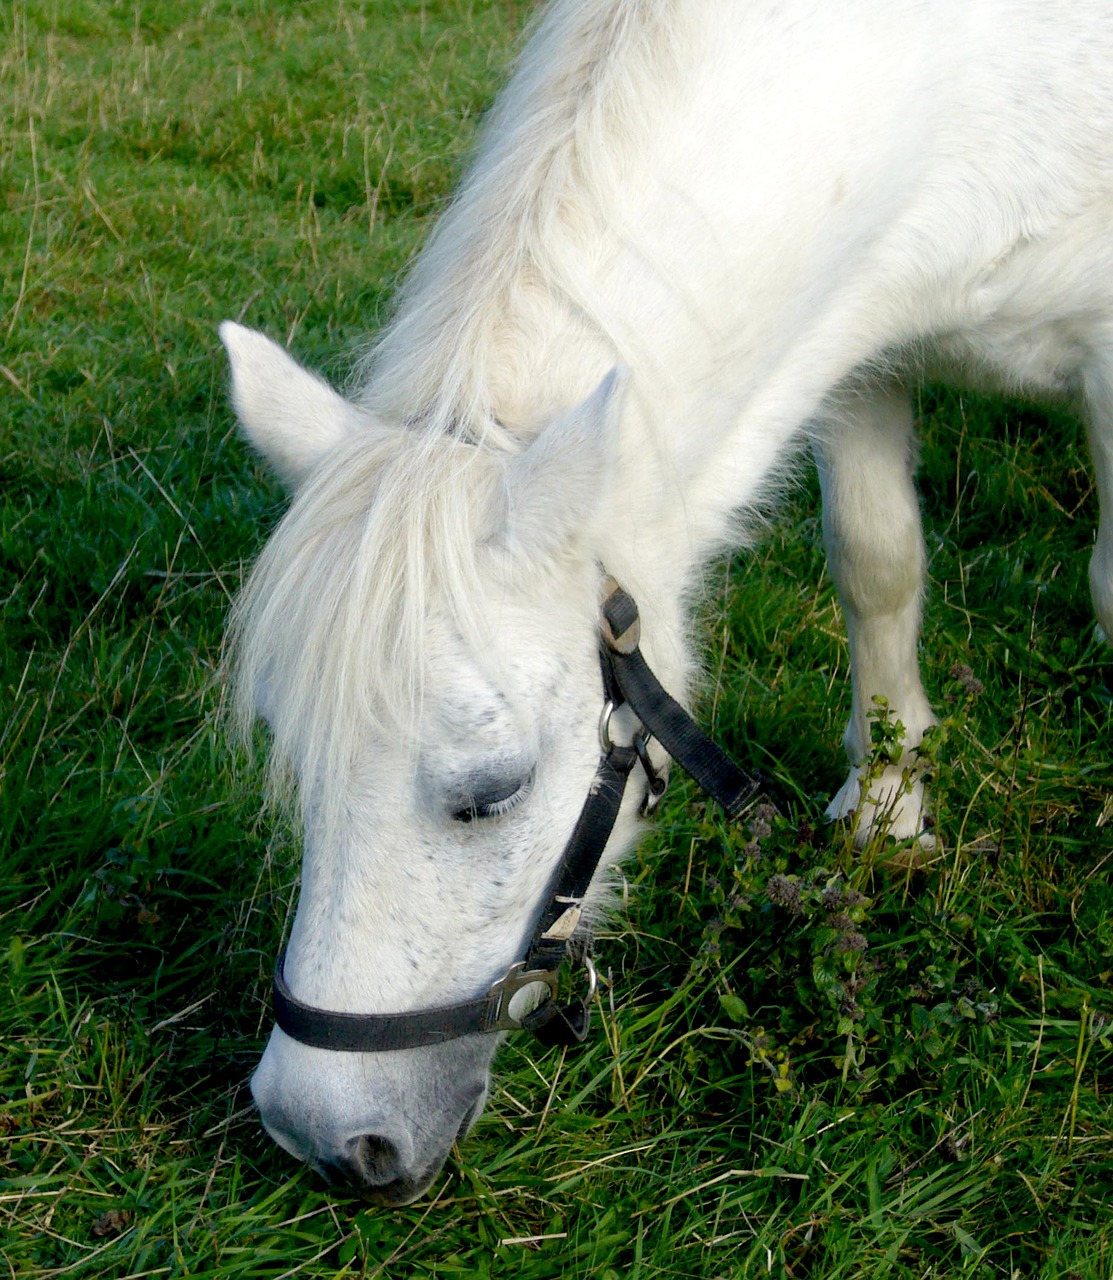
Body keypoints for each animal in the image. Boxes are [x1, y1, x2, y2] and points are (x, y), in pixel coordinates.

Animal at [222, 0, 1113, 1198]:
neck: (975, 77)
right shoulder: (856, 332)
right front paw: (888, 810)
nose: (318, 1134)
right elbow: (876, 560)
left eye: (492, 794)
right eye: (297, 760)